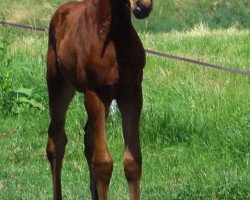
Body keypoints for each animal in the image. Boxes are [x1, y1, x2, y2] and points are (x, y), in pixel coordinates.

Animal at [46, 0, 153, 199]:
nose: (142, 7)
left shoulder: (132, 94)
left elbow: (133, 161)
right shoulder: (94, 93)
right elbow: (103, 163)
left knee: (88, 137)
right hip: (59, 86)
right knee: (56, 141)